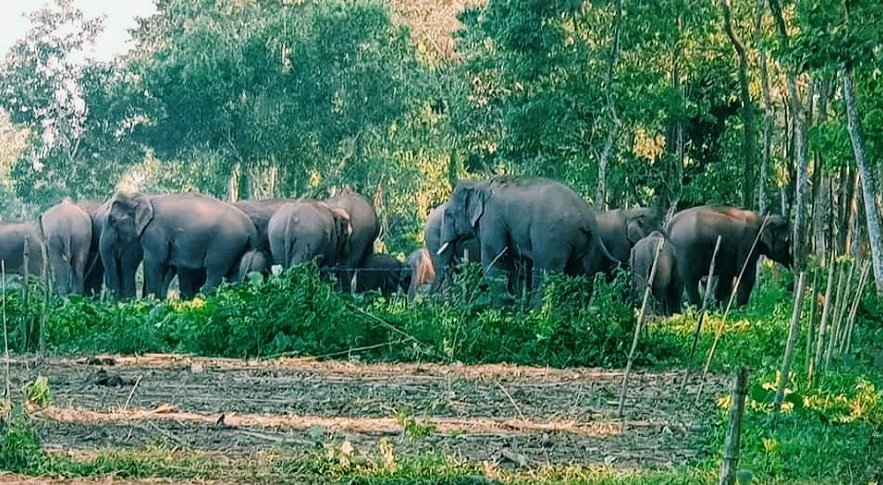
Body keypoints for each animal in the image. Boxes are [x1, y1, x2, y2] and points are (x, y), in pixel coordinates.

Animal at [104, 190, 256, 296]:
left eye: (112, 220)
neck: (146, 198)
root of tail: (250, 228)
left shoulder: (155, 233)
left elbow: (153, 262)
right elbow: (165, 265)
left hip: (225, 245)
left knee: (214, 272)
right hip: (239, 247)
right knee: (235, 275)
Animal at [438, 176, 620, 300]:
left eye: (448, 214)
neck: (478, 184)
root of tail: (587, 219)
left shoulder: (492, 220)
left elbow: (495, 259)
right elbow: (516, 265)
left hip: (553, 239)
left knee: (545, 273)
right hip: (588, 246)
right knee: (583, 276)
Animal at [668, 205, 796, 306]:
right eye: (788, 240)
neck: (763, 219)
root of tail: (670, 224)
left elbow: (725, 279)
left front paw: (721, 309)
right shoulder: (748, 244)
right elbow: (747, 277)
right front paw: (741, 310)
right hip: (687, 253)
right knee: (690, 282)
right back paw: (698, 310)